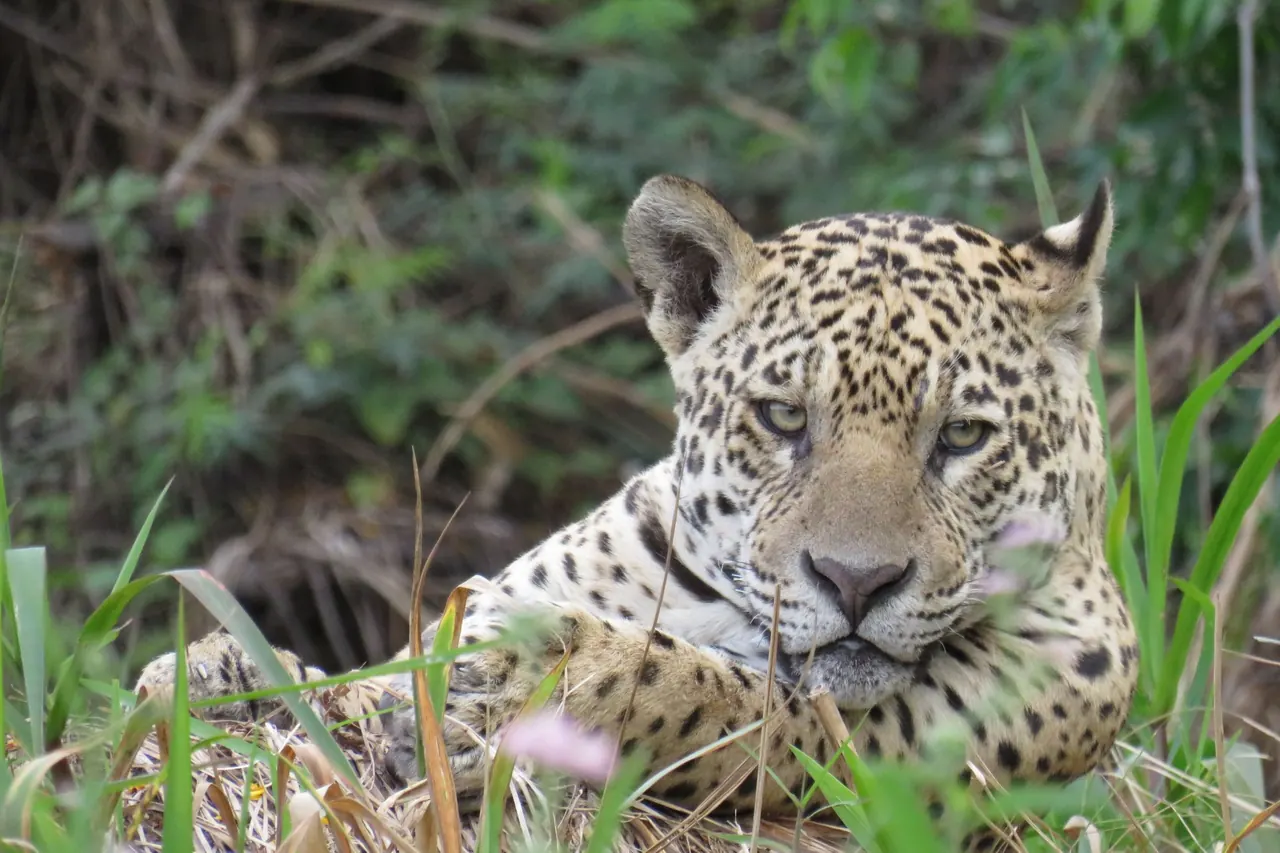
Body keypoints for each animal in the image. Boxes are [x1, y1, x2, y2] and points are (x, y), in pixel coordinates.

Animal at [136, 173, 1140, 848]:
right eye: (783, 417)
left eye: (963, 435)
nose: (856, 582)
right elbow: (357, 678)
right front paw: (221, 672)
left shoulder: (964, 726)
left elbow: (743, 700)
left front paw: (528, 675)